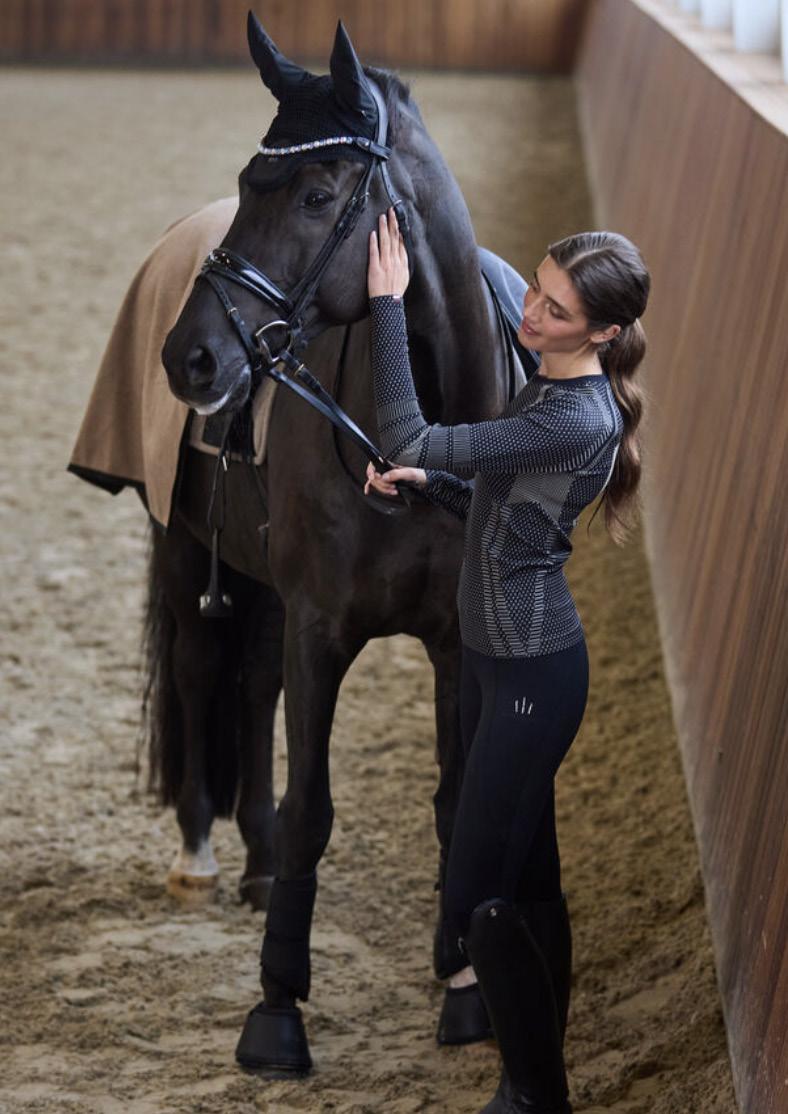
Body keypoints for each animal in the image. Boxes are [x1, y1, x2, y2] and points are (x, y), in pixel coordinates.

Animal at [154, 12, 530, 1072]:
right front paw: (277, 1008)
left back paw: (252, 865)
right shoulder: (320, 626)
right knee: (199, 671)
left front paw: (464, 984)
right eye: (249, 182)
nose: (190, 357)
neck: (425, 434)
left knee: (248, 686)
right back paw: (203, 852)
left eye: (320, 195)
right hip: (182, 549)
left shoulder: (454, 643)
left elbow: (455, 799)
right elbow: (313, 808)